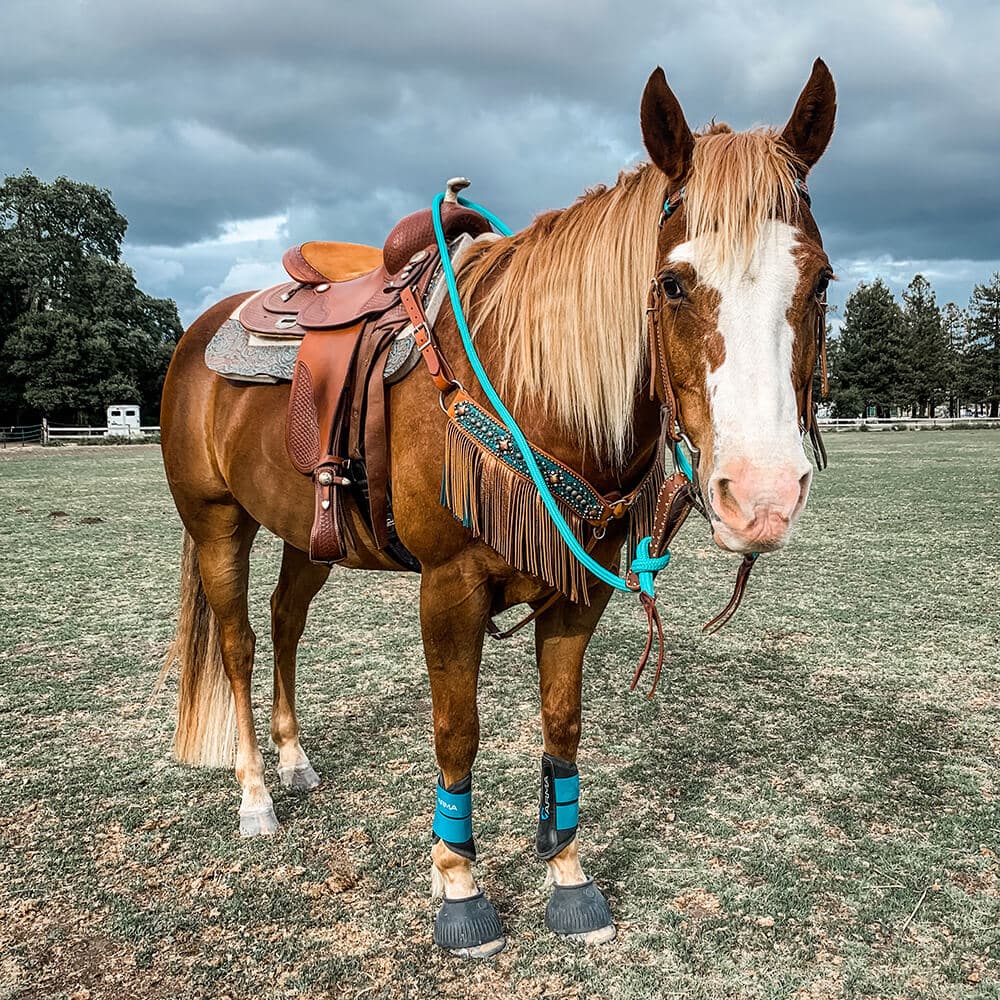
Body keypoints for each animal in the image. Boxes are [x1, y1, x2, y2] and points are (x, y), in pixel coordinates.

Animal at [160, 59, 837, 957]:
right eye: (672, 283)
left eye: (821, 281)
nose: (761, 496)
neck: (531, 387)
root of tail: (199, 331)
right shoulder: (449, 588)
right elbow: (458, 733)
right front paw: (459, 888)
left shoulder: (579, 593)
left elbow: (561, 725)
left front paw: (569, 876)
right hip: (216, 522)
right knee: (237, 642)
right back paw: (256, 796)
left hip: (309, 532)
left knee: (284, 622)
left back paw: (296, 760)